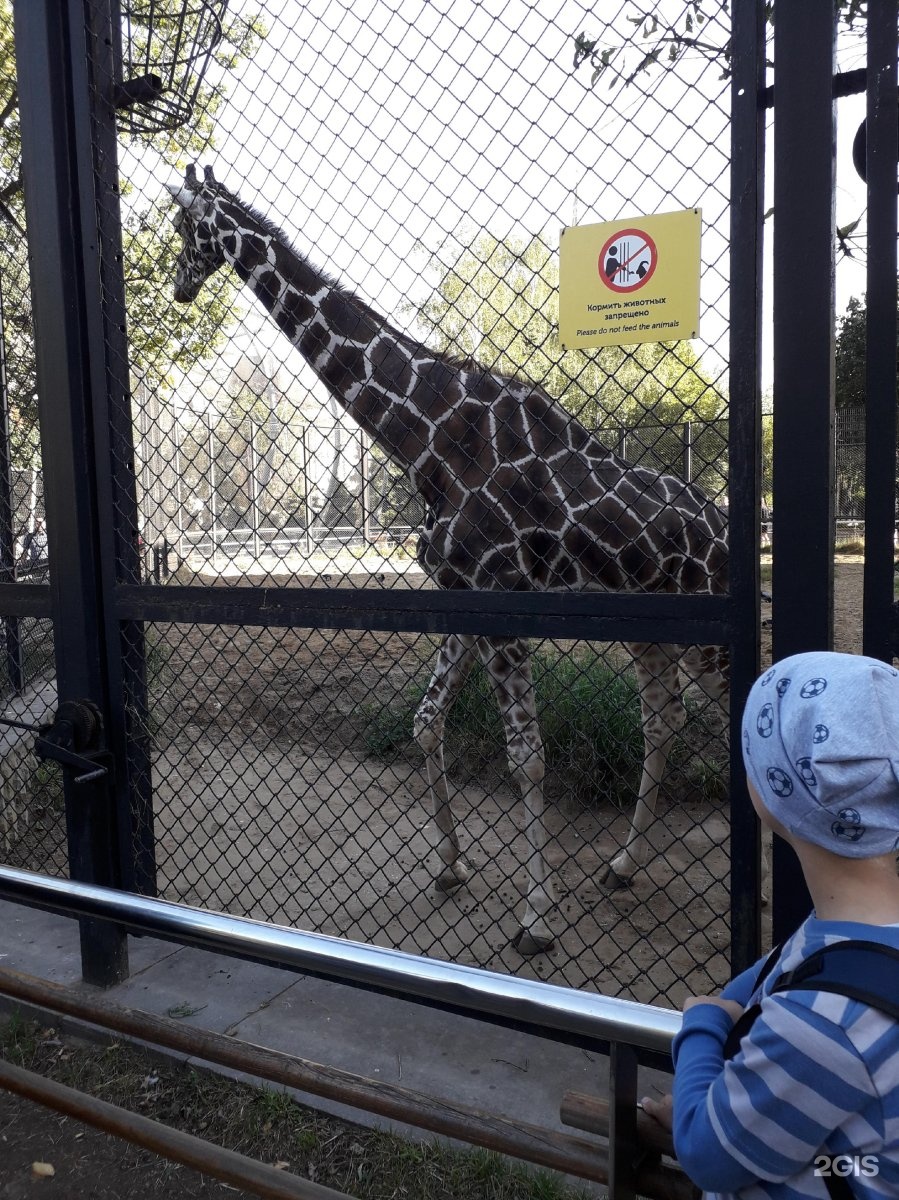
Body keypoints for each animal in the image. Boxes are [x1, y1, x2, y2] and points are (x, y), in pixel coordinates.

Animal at [166, 166, 729, 955]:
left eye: (184, 229)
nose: (178, 289)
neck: (425, 439)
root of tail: (725, 526)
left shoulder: (499, 597)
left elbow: (527, 757)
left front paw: (535, 920)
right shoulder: (462, 595)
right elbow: (426, 722)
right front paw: (451, 866)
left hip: (707, 632)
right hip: (649, 632)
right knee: (664, 723)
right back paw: (620, 866)